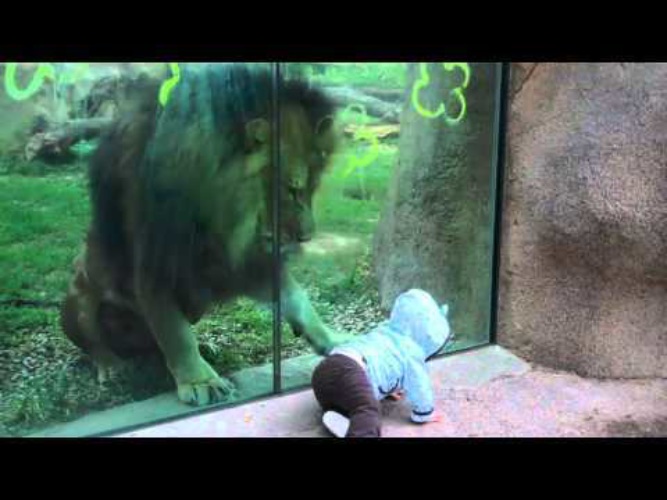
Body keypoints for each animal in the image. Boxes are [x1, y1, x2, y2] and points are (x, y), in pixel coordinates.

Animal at [60, 63, 352, 406]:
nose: (307, 237)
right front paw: (200, 381)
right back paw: (112, 366)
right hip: (77, 298)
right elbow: (174, 331)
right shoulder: (155, 259)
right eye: (291, 190)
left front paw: (333, 338)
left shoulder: (243, 262)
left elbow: (297, 298)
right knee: (95, 343)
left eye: (312, 188)